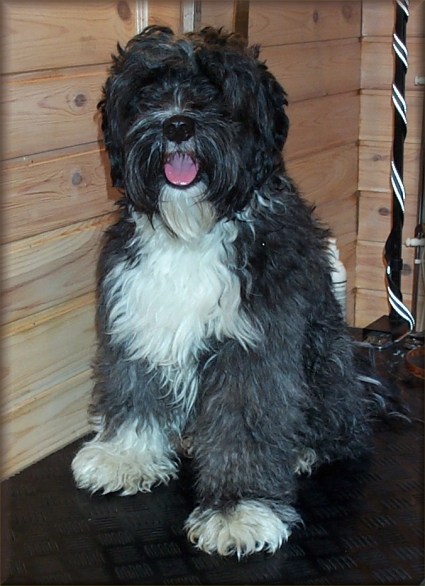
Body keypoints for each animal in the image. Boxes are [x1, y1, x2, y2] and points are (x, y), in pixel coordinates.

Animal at [72, 25, 398, 558]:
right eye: (148, 92)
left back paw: (304, 449)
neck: (193, 232)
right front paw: (127, 455)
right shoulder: (137, 319)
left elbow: (245, 428)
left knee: (344, 431)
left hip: (328, 367)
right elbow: (134, 388)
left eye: (215, 92)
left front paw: (239, 509)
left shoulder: (254, 349)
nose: (177, 125)